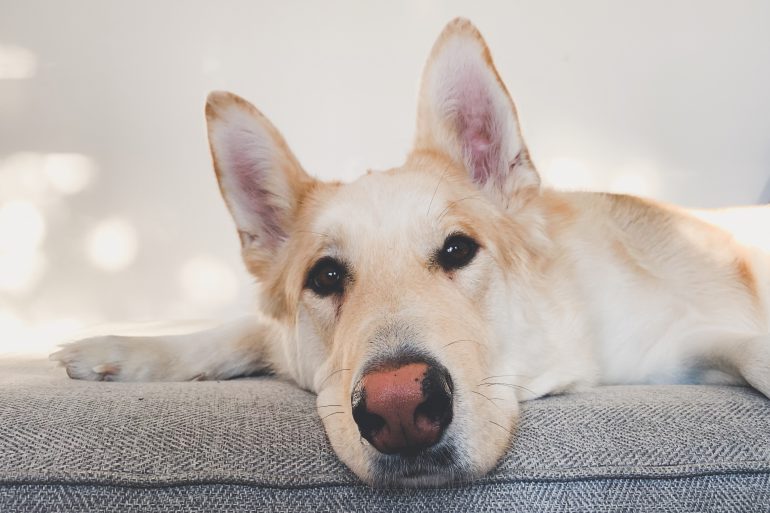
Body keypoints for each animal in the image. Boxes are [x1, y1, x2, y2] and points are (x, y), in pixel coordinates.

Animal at [51, 18, 764, 486]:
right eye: (326, 275)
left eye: (457, 249)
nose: (398, 410)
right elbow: (230, 332)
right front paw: (118, 351)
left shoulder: (675, 341)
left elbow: (748, 347)